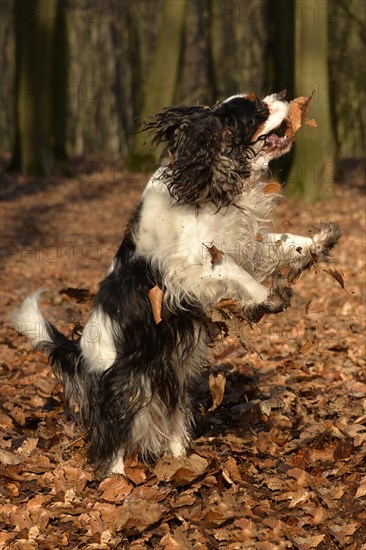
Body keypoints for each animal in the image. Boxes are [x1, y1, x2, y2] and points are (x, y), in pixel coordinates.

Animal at [14, 92, 340, 476]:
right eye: (259, 109)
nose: (279, 96)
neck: (207, 183)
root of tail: (81, 354)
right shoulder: (185, 273)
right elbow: (235, 274)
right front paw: (267, 297)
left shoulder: (242, 242)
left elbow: (282, 241)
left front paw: (319, 242)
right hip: (126, 385)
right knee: (113, 439)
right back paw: (117, 478)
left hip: (172, 375)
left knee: (172, 420)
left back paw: (182, 459)